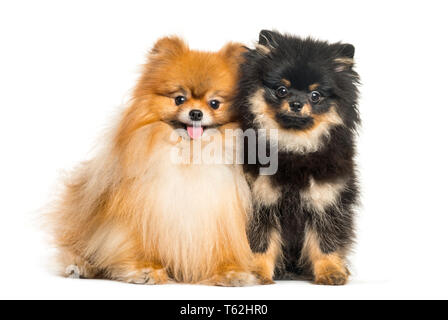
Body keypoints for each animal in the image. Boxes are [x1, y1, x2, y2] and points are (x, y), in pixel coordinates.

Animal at [47, 37, 260, 284]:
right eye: (179, 99)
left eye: (214, 103)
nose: (196, 113)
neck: (190, 156)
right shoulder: (142, 208)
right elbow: (134, 242)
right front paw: (145, 268)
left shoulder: (219, 218)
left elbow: (223, 249)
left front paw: (230, 271)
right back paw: (80, 266)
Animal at [234, 30, 360, 284]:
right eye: (281, 90)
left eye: (315, 95)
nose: (296, 103)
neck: (293, 148)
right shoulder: (260, 200)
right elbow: (261, 242)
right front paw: (257, 271)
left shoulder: (326, 200)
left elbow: (325, 241)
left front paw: (330, 271)